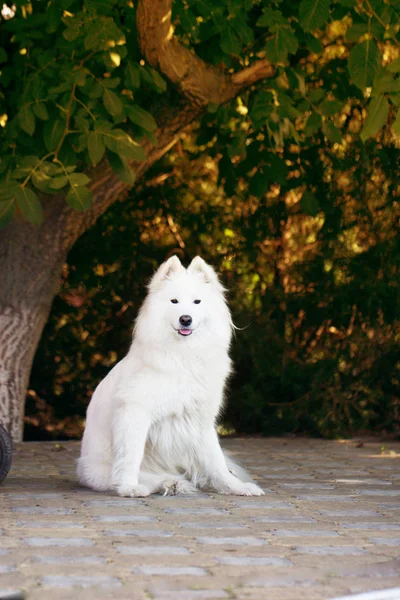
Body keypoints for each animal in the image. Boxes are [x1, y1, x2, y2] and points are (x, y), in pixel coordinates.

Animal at [77, 256, 266, 496]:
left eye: (197, 302)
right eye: (174, 301)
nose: (185, 319)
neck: (182, 355)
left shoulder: (201, 420)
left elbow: (216, 462)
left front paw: (235, 487)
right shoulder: (134, 413)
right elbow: (131, 456)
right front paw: (129, 487)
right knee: (145, 476)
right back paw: (169, 483)